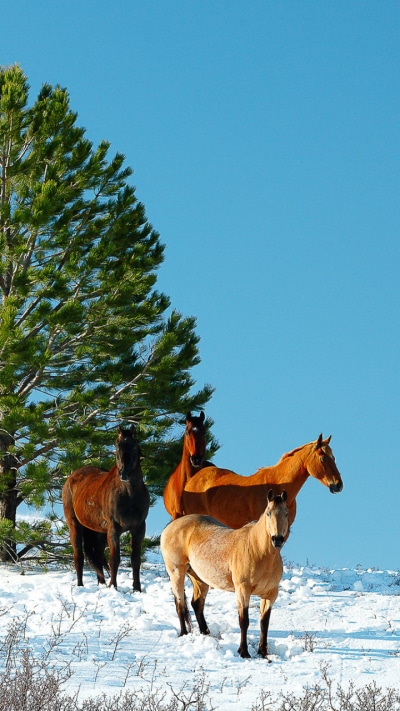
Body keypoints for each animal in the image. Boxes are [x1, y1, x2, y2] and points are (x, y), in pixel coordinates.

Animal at [62, 425, 150, 591]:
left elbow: (135, 560)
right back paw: (81, 585)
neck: (129, 495)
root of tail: (71, 477)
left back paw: (101, 584)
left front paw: (137, 589)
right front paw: (113, 587)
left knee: (96, 557)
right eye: (116, 445)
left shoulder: (139, 528)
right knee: (79, 557)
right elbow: (114, 559)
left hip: (99, 532)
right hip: (75, 526)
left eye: (134, 445)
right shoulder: (114, 530)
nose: (124, 474)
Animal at [161, 489, 289, 659]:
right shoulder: (242, 590)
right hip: (176, 573)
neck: (258, 551)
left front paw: (263, 652)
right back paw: (184, 634)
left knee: (196, 604)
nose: (277, 539)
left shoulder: (271, 594)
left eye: (286, 513)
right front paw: (244, 652)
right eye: (268, 513)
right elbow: (244, 621)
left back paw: (206, 633)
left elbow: (264, 623)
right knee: (180, 604)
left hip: (200, 578)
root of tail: (171, 526)